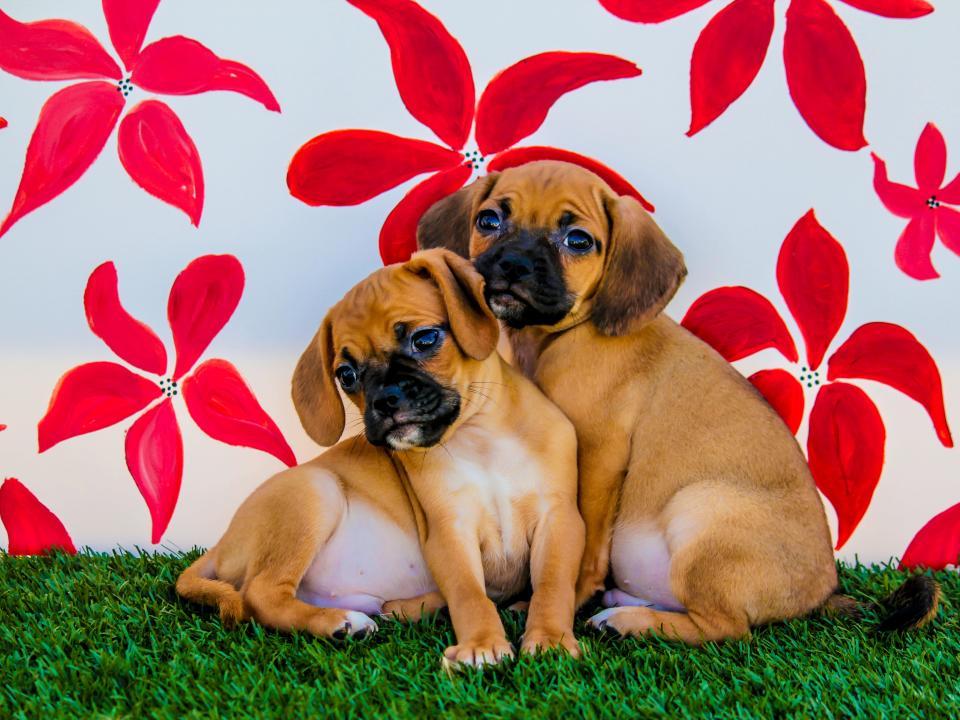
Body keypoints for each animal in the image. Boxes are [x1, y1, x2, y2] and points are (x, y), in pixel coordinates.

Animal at [175, 250, 580, 668]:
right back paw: (342, 622)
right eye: (346, 375)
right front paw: (481, 642)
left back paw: (408, 607)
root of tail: (221, 544)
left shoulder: (559, 519)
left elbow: (552, 585)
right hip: (315, 490)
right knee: (261, 594)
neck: (478, 437)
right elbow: (470, 595)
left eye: (425, 339)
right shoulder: (449, 531)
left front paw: (549, 637)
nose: (386, 400)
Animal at [418, 162, 936, 640]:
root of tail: (822, 593)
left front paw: (557, 598)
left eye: (578, 240)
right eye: (488, 220)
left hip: (699, 507)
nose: (513, 265)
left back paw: (627, 621)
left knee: (725, 628)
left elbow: (583, 547)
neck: (547, 340)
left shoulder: (597, 458)